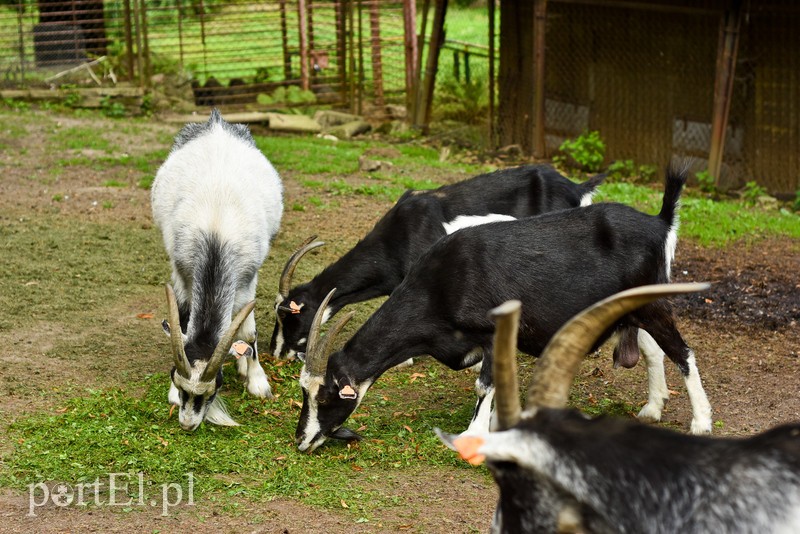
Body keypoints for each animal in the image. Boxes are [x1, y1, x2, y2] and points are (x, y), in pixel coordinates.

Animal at [152, 111, 284, 434]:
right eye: (177, 380)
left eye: (214, 390)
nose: (188, 425)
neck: (216, 234)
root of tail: (216, 122)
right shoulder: (182, 271)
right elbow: (183, 321)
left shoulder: (247, 278)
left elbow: (248, 333)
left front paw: (258, 381)